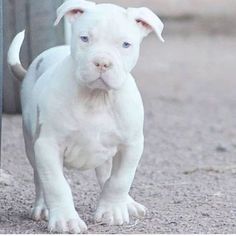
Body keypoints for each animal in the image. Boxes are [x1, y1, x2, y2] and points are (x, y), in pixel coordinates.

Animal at [6, 0, 162, 232]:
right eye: (84, 38)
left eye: (126, 44)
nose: (102, 62)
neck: (96, 97)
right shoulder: (47, 146)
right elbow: (56, 184)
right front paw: (65, 220)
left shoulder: (131, 145)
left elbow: (119, 180)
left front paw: (112, 211)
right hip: (30, 143)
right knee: (39, 178)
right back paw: (42, 207)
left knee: (106, 175)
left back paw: (128, 203)